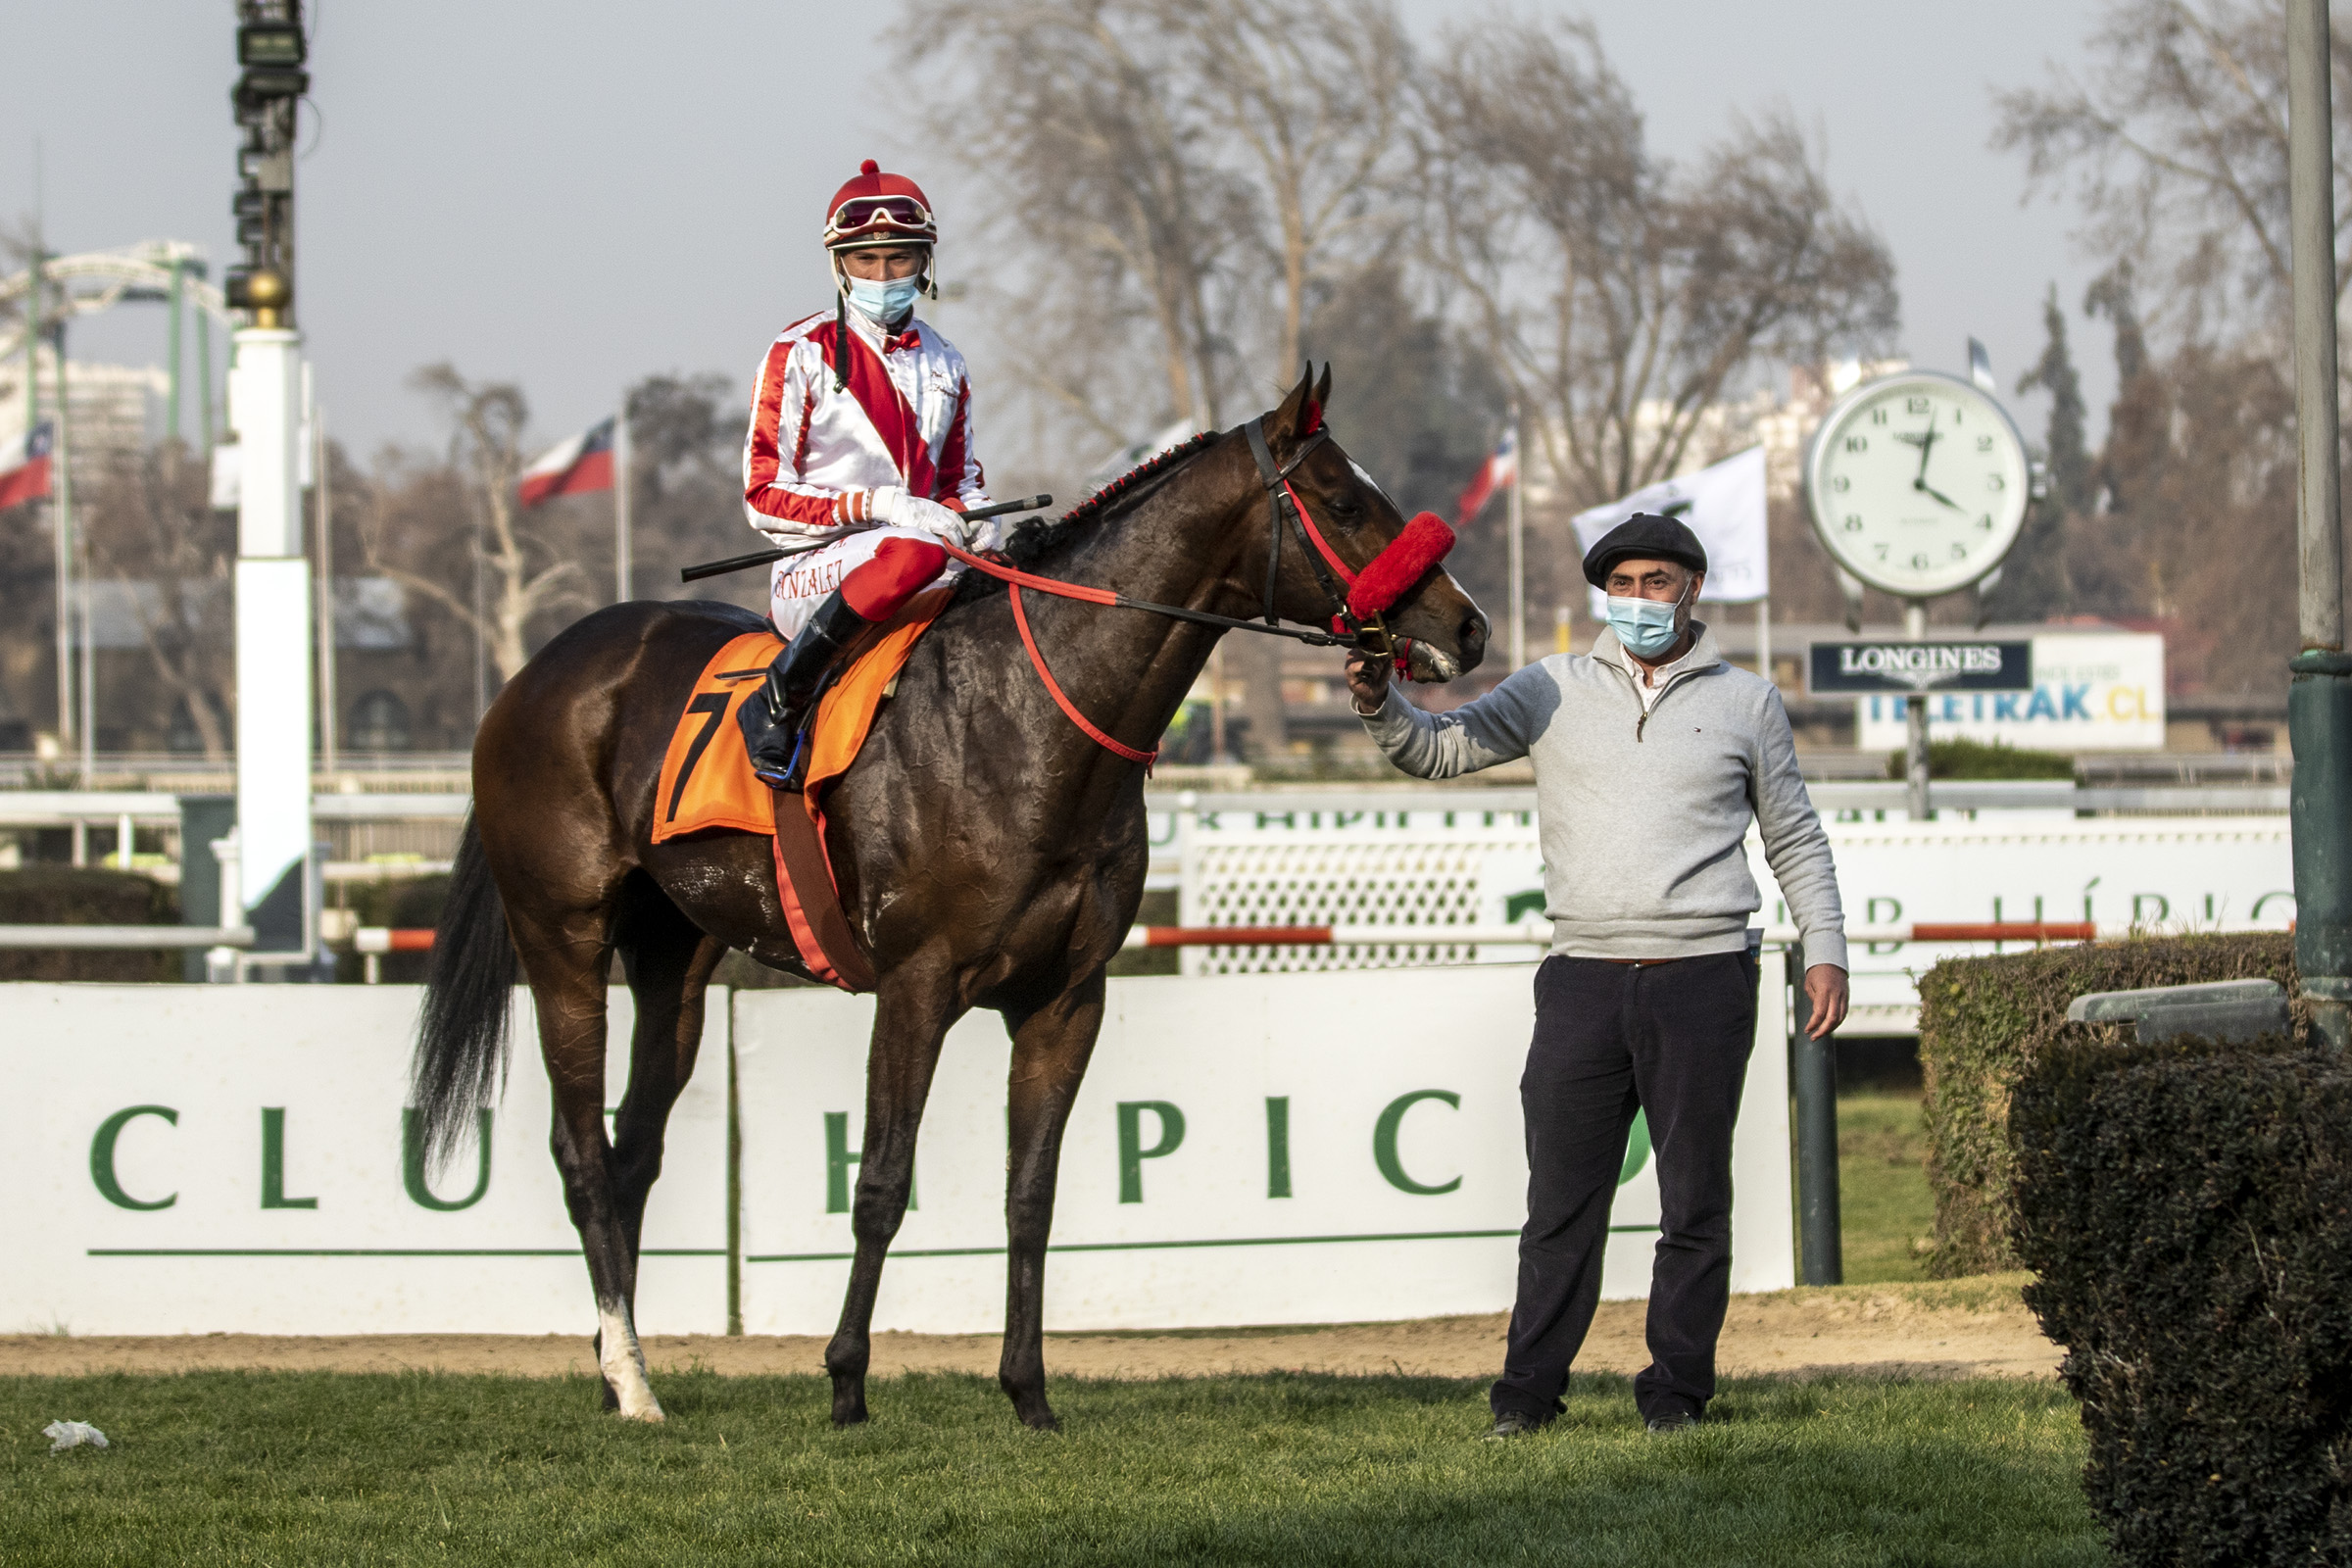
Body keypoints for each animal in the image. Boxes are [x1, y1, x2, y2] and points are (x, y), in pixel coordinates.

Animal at [408, 366, 1488, 1429]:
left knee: (633, 1150)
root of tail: (532, 674)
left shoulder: (1067, 998)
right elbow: (883, 1182)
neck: (1029, 720)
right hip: (563, 941)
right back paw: (635, 1388)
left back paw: (614, 1365)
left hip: (673, 958)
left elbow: (1031, 1195)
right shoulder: (916, 985)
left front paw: (1028, 1393)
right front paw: (846, 1382)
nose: (1468, 628)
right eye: (1345, 502)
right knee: (583, 1154)